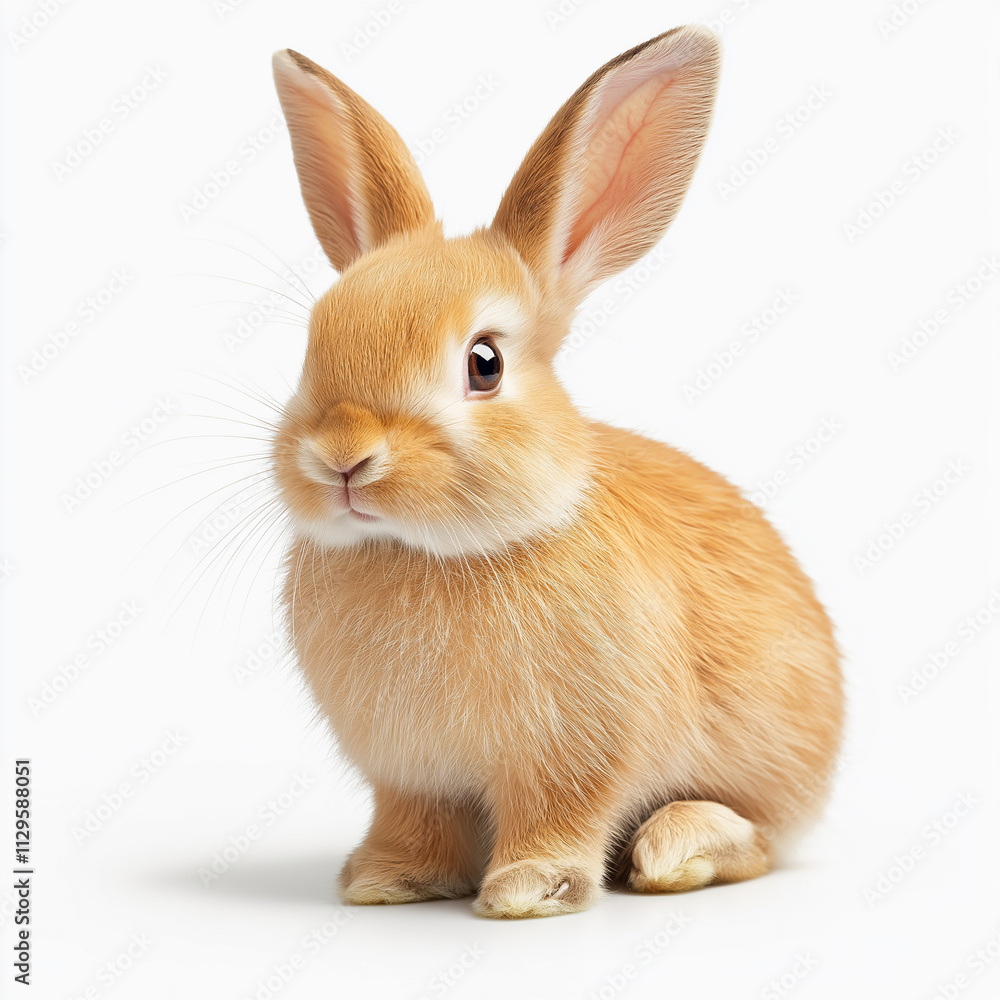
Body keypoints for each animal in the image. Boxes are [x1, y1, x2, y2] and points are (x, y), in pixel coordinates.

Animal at [270, 24, 843, 919]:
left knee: (757, 837)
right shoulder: (410, 777)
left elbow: (560, 816)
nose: (342, 457)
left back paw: (676, 848)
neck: (428, 552)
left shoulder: (573, 761)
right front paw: (387, 881)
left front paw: (529, 890)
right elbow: (415, 824)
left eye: (485, 363)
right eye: (312, 344)